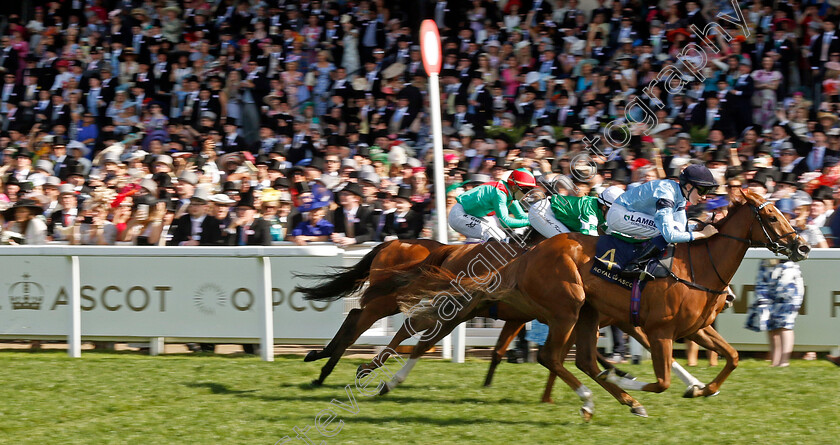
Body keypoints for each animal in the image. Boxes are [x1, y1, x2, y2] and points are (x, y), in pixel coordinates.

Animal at [386, 189, 808, 418]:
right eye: (772, 216)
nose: (802, 246)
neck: (698, 266)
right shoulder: (656, 328)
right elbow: (661, 378)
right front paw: (629, 379)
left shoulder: (692, 328)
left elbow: (732, 357)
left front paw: (701, 388)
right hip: (563, 307)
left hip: (578, 312)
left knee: (578, 359)